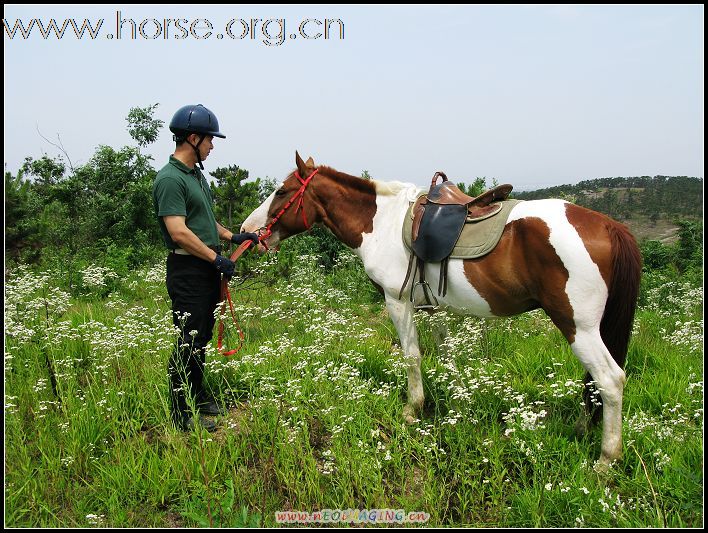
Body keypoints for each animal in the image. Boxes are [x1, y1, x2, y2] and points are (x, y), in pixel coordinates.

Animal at [242, 150, 640, 466]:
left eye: (282, 191)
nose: (248, 231)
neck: (382, 224)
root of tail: (609, 225)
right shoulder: (435, 308)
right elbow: (447, 355)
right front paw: (456, 403)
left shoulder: (397, 301)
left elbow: (412, 356)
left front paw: (412, 409)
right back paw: (583, 427)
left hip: (578, 327)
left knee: (610, 380)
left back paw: (606, 460)